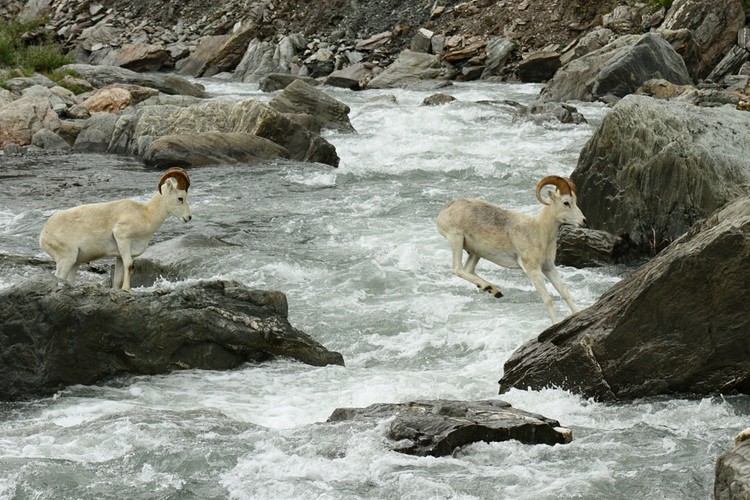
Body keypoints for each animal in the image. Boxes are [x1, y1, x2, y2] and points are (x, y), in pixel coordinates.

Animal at [39, 167, 192, 292]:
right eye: (180, 198)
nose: (188, 217)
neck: (145, 215)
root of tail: (43, 235)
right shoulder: (122, 239)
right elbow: (129, 265)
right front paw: (127, 289)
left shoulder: (119, 256)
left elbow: (118, 277)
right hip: (67, 259)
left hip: (75, 263)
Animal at [436, 175, 587, 323]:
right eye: (566, 203)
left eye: (575, 201)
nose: (584, 221)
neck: (539, 230)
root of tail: (445, 210)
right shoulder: (532, 270)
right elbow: (548, 299)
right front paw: (555, 323)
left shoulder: (548, 267)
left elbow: (565, 293)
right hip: (456, 239)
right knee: (458, 269)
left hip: (475, 252)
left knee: (468, 269)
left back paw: (493, 290)